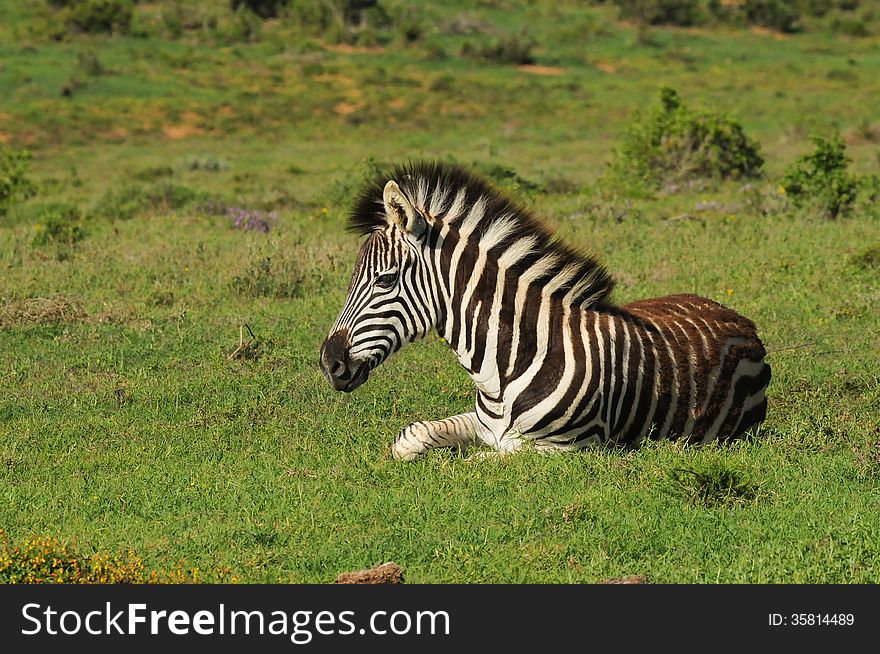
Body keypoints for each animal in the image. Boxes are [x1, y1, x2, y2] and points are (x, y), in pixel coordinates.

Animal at [318, 161, 768, 462]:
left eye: (385, 280)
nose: (329, 363)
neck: (503, 367)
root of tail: (731, 313)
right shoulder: (485, 426)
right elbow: (410, 437)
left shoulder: (564, 449)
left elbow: (475, 463)